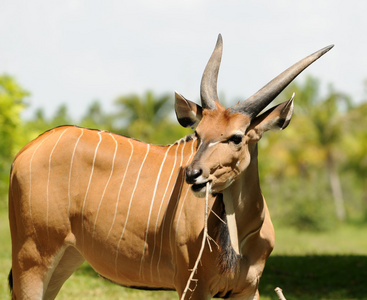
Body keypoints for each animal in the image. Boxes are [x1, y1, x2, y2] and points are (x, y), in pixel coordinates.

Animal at [7, 34, 334, 298]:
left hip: (64, 258)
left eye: (237, 137)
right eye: (198, 134)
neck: (240, 232)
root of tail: (25, 151)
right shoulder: (193, 286)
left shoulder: (248, 289)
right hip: (31, 259)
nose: (193, 175)